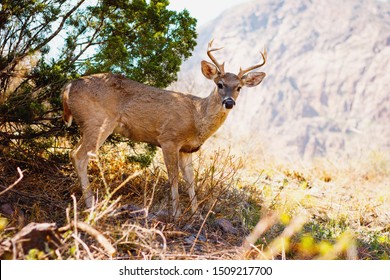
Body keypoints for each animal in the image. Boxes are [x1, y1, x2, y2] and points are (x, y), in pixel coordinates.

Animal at [61, 40, 268, 219]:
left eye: (239, 87)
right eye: (220, 84)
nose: (229, 102)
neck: (197, 117)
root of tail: (68, 86)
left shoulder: (187, 149)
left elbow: (190, 180)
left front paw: (196, 214)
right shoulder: (169, 139)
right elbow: (173, 177)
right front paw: (176, 213)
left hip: (89, 124)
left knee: (74, 152)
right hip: (98, 121)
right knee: (79, 155)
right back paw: (91, 204)